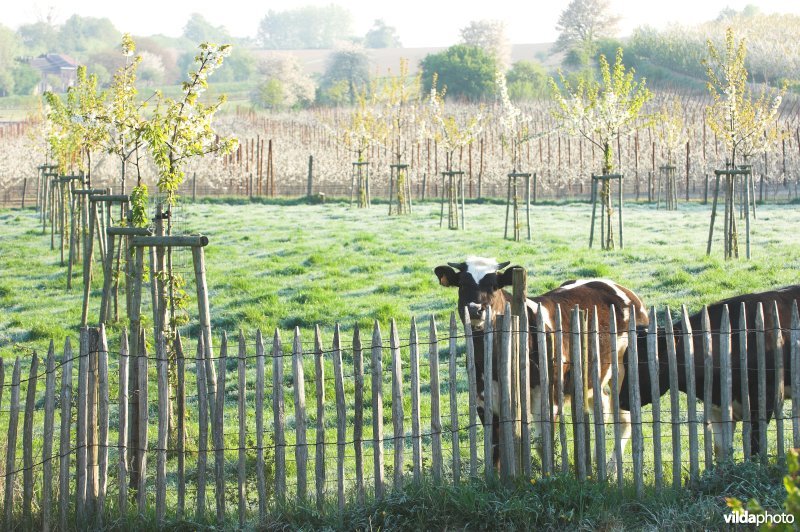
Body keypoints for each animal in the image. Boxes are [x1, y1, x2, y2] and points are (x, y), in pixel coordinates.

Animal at [432, 258, 648, 470]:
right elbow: (495, 448)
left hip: (623, 370)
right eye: (462, 284)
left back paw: (611, 467)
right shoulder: (483, 400)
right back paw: (597, 459)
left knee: (623, 418)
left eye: (494, 285)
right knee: (602, 406)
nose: (475, 309)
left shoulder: (548, 396)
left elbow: (542, 443)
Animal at [620, 286, 800, 458]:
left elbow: (755, 448)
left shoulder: (764, 400)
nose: (622, 399)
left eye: (643, 361)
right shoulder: (717, 411)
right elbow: (721, 451)